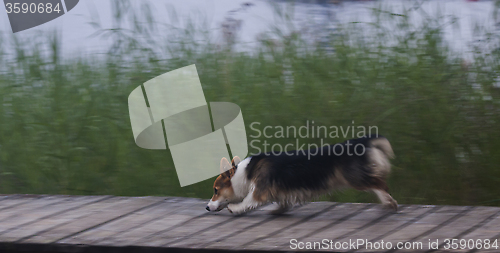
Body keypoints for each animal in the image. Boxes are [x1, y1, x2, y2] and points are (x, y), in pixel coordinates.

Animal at [205, 135, 396, 214]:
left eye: (215, 190)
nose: (206, 207)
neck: (243, 173)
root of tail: (360, 141)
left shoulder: (259, 191)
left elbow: (247, 201)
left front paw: (234, 208)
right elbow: (283, 202)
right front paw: (278, 210)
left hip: (356, 178)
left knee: (380, 184)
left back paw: (389, 202)